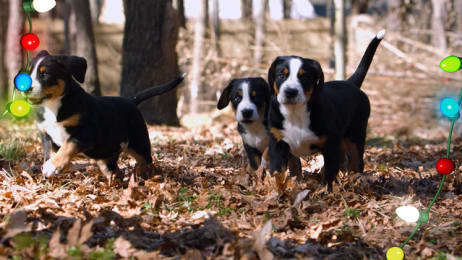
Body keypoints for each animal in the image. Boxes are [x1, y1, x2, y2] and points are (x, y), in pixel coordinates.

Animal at [27, 49, 184, 182]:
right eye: (29, 73)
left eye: (45, 74)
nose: (25, 87)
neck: (53, 106)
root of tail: (131, 100)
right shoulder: (46, 135)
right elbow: (50, 153)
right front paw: (54, 168)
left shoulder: (88, 131)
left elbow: (68, 145)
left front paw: (52, 166)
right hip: (105, 157)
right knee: (116, 171)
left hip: (139, 143)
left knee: (148, 162)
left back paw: (150, 177)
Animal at [268, 30, 386, 191]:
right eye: (281, 75)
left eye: (304, 77)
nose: (290, 92)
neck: (295, 113)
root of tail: (350, 82)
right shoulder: (278, 143)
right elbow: (286, 171)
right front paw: (286, 189)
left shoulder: (330, 144)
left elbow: (329, 172)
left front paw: (326, 192)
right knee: (343, 160)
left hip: (355, 134)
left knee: (356, 162)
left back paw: (355, 181)